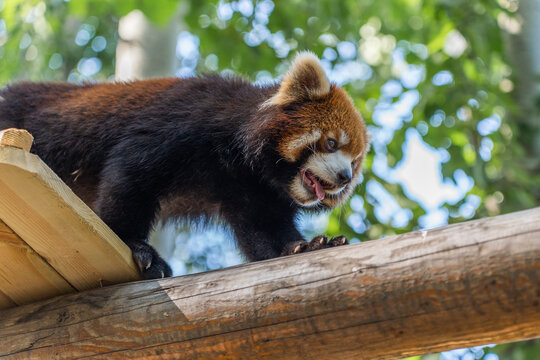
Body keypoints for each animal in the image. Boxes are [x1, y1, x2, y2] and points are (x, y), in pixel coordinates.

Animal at [0, 51, 370, 278]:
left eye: (354, 164)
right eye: (332, 143)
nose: (342, 176)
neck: (237, 160)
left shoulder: (253, 191)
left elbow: (264, 231)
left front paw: (305, 246)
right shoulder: (183, 124)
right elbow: (129, 177)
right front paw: (135, 244)